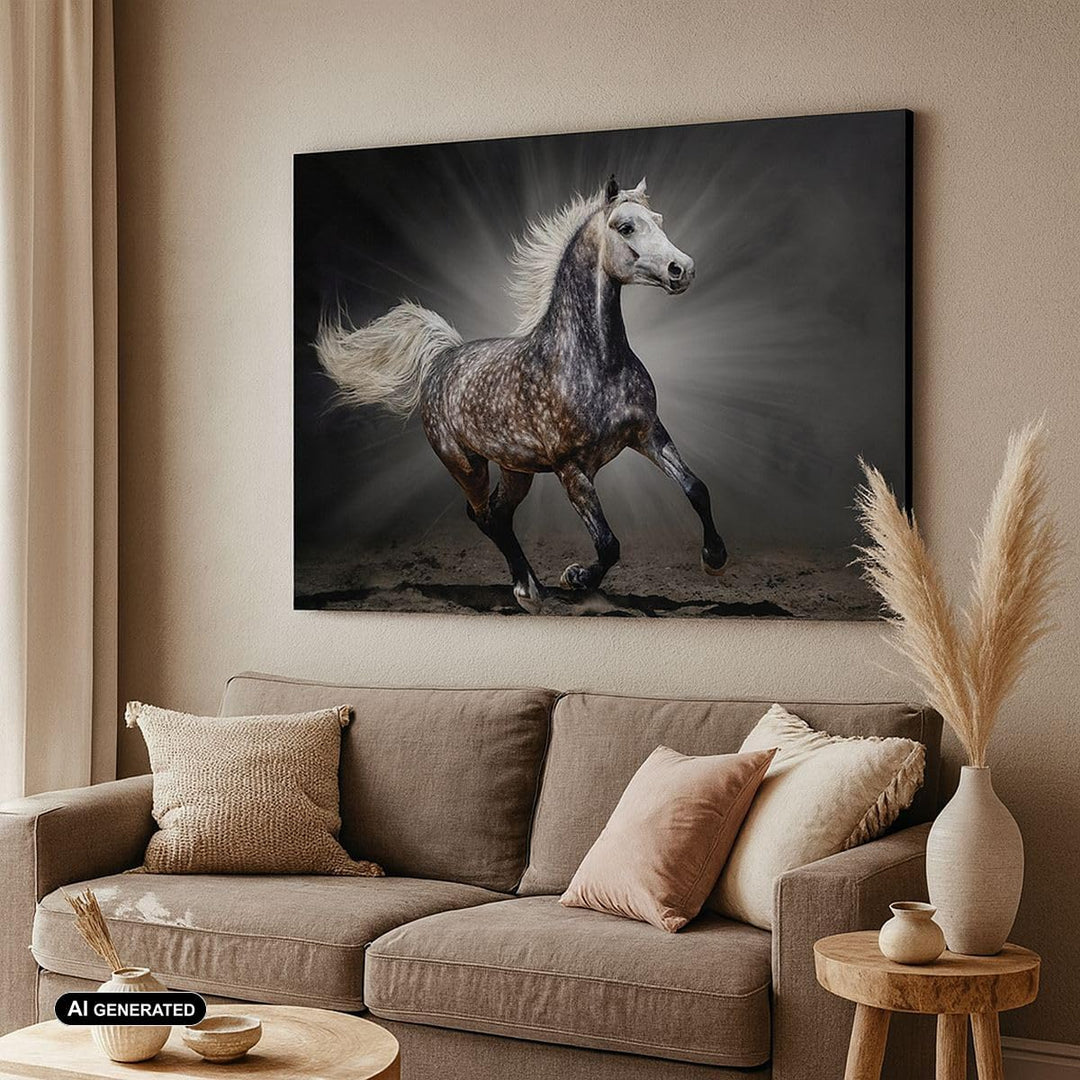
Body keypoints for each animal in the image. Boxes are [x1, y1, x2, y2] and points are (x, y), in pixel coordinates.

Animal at [316, 174, 727, 613]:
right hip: (465, 465)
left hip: (516, 470)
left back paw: (531, 586)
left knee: (498, 515)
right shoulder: (571, 469)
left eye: (659, 220)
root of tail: (443, 359)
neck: (593, 361)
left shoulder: (649, 434)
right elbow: (608, 543)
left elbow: (696, 489)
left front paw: (715, 559)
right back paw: (528, 592)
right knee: (484, 516)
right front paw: (575, 577)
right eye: (626, 227)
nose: (682, 269)